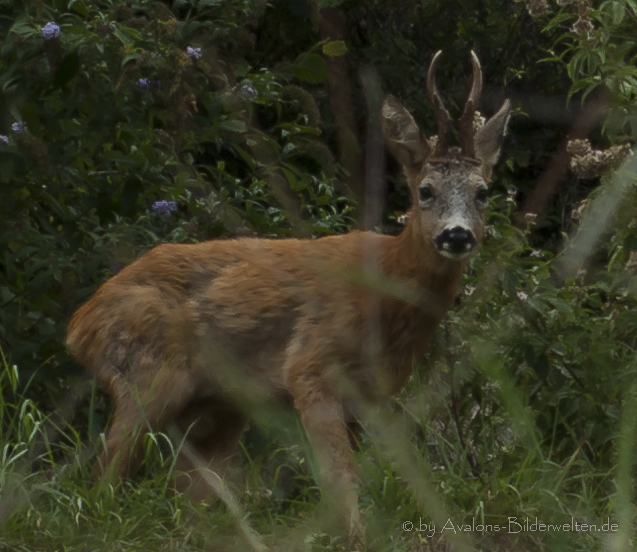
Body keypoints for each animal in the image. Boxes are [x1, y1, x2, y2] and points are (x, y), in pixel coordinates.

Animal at [67, 50, 510, 536]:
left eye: (483, 191)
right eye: (425, 191)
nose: (457, 235)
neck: (386, 289)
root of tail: (79, 324)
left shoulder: (370, 395)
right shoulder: (310, 367)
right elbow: (339, 476)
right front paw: (355, 536)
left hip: (218, 403)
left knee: (185, 491)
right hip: (147, 372)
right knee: (104, 476)